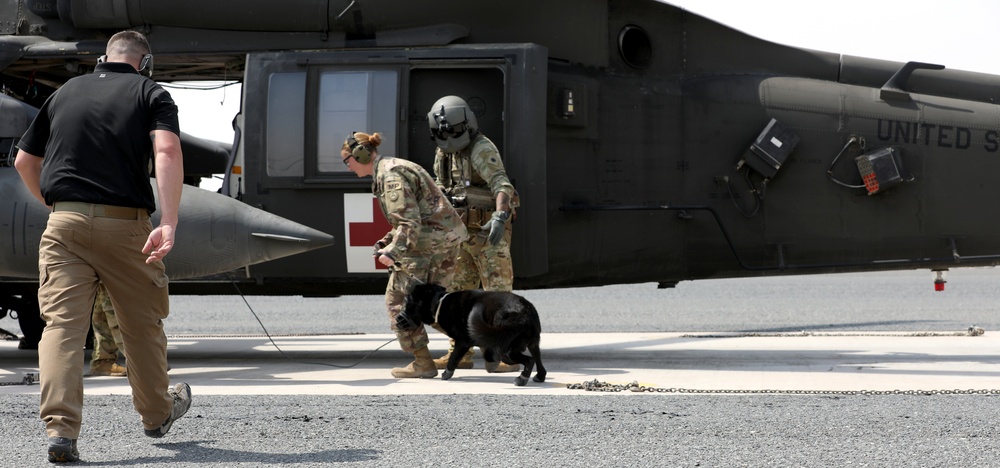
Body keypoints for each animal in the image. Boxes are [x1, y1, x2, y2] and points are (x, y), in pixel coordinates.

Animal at [398, 284, 548, 386]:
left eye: (406, 305)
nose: (397, 320)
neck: (438, 303)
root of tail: (525, 312)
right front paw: (491, 362)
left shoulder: (462, 342)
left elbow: (453, 358)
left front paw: (446, 374)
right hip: (533, 342)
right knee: (538, 358)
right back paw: (540, 376)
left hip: (506, 350)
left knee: (529, 360)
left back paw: (522, 379)